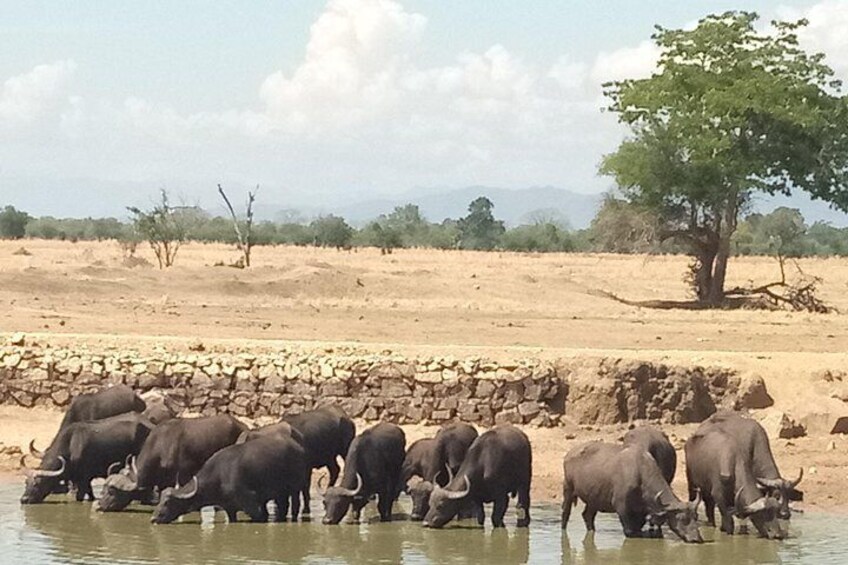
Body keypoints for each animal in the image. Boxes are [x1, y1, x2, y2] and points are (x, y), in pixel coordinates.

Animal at [20, 410, 153, 502]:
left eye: (37, 483)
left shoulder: (83, 479)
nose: (24, 499)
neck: (71, 445)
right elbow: (90, 494)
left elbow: (80, 496)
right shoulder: (80, 480)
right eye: (26, 482)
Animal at [99, 414, 247, 512]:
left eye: (112, 491)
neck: (162, 445)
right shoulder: (163, 481)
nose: (100, 505)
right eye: (104, 487)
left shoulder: (184, 474)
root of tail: (240, 424)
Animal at [152, 436, 308, 524]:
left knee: (295, 505)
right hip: (281, 493)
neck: (220, 476)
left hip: (296, 487)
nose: (153, 519)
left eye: (167, 502)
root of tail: (299, 448)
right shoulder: (229, 508)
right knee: (283, 506)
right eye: (160, 500)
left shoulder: (251, 504)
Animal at [564, 440, 704, 540]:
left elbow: (638, 528)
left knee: (587, 515)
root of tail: (569, 453)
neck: (640, 473)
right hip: (568, 489)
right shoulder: (622, 507)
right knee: (566, 513)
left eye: (695, 517)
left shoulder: (641, 512)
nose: (696, 539)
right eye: (683, 519)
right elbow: (630, 531)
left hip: (593, 499)